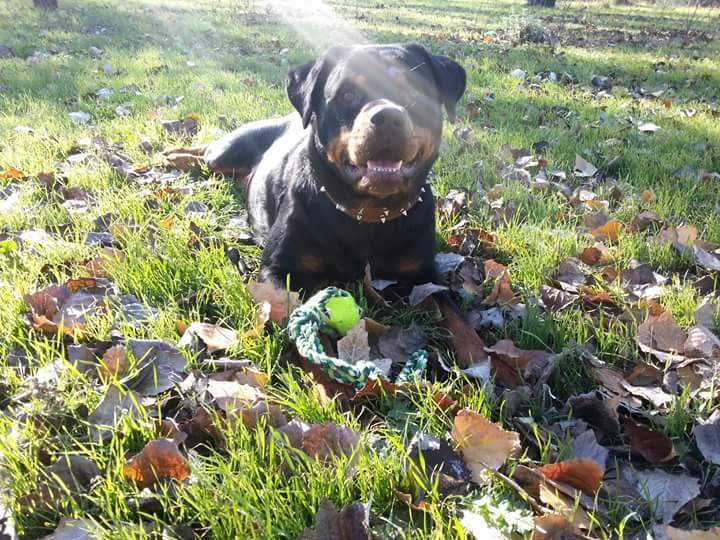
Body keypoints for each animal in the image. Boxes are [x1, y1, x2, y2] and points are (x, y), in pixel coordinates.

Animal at [166, 44, 464, 294]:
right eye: (348, 94)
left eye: (416, 93)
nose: (389, 117)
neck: (369, 215)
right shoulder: (281, 270)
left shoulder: (425, 274)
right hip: (229, 152)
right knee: (206, 152)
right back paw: (173, 154)